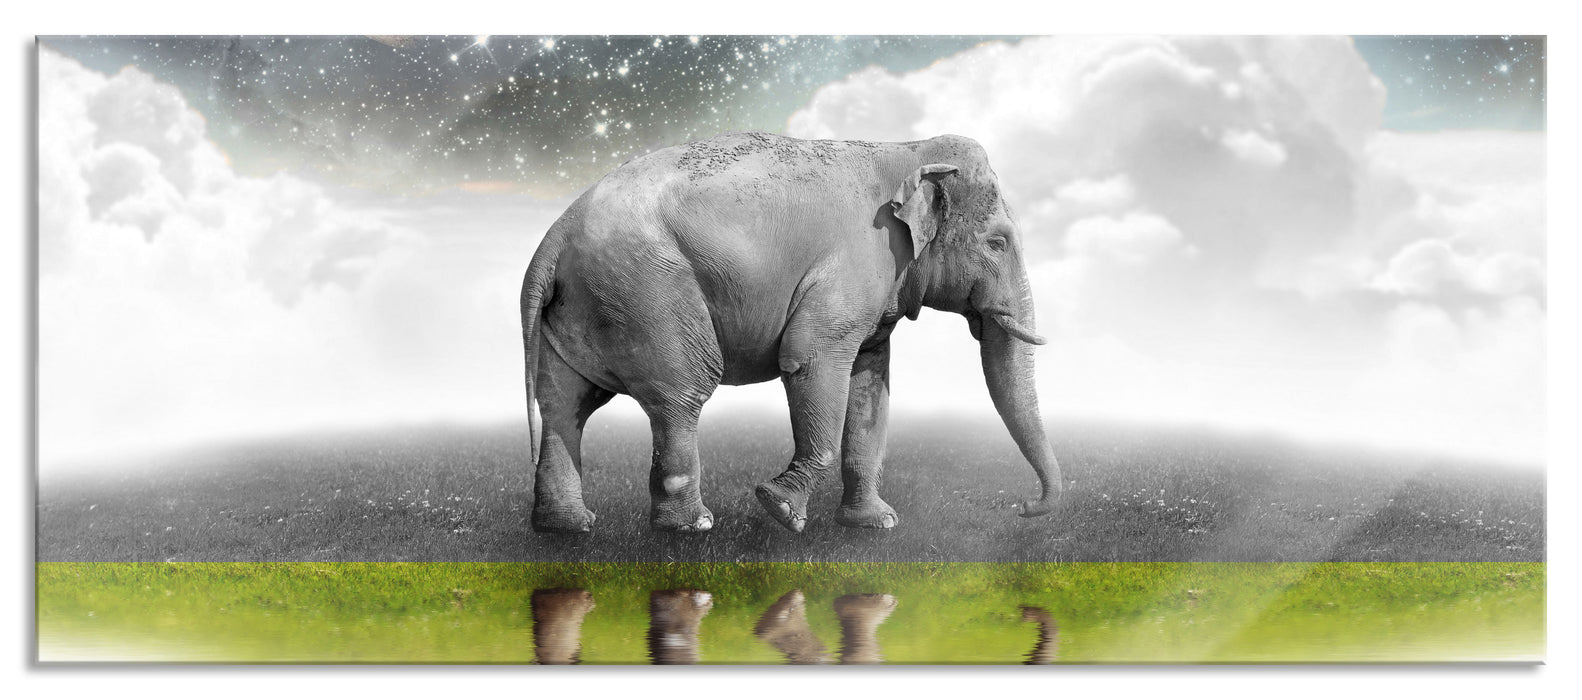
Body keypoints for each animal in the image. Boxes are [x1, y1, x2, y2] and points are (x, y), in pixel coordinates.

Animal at [521, 130, 1063, 533]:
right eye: (997, 243)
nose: (1024, 507)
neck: (908, 149)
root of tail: (553, 237)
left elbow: (871, 385)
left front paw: (875, 524)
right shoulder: (858, 259)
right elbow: (810, 359)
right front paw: (779, 509)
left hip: (582, 307)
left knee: (565, 403)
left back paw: (567, 527)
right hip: (647, 290)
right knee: (682, 393)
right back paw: (691, 526)